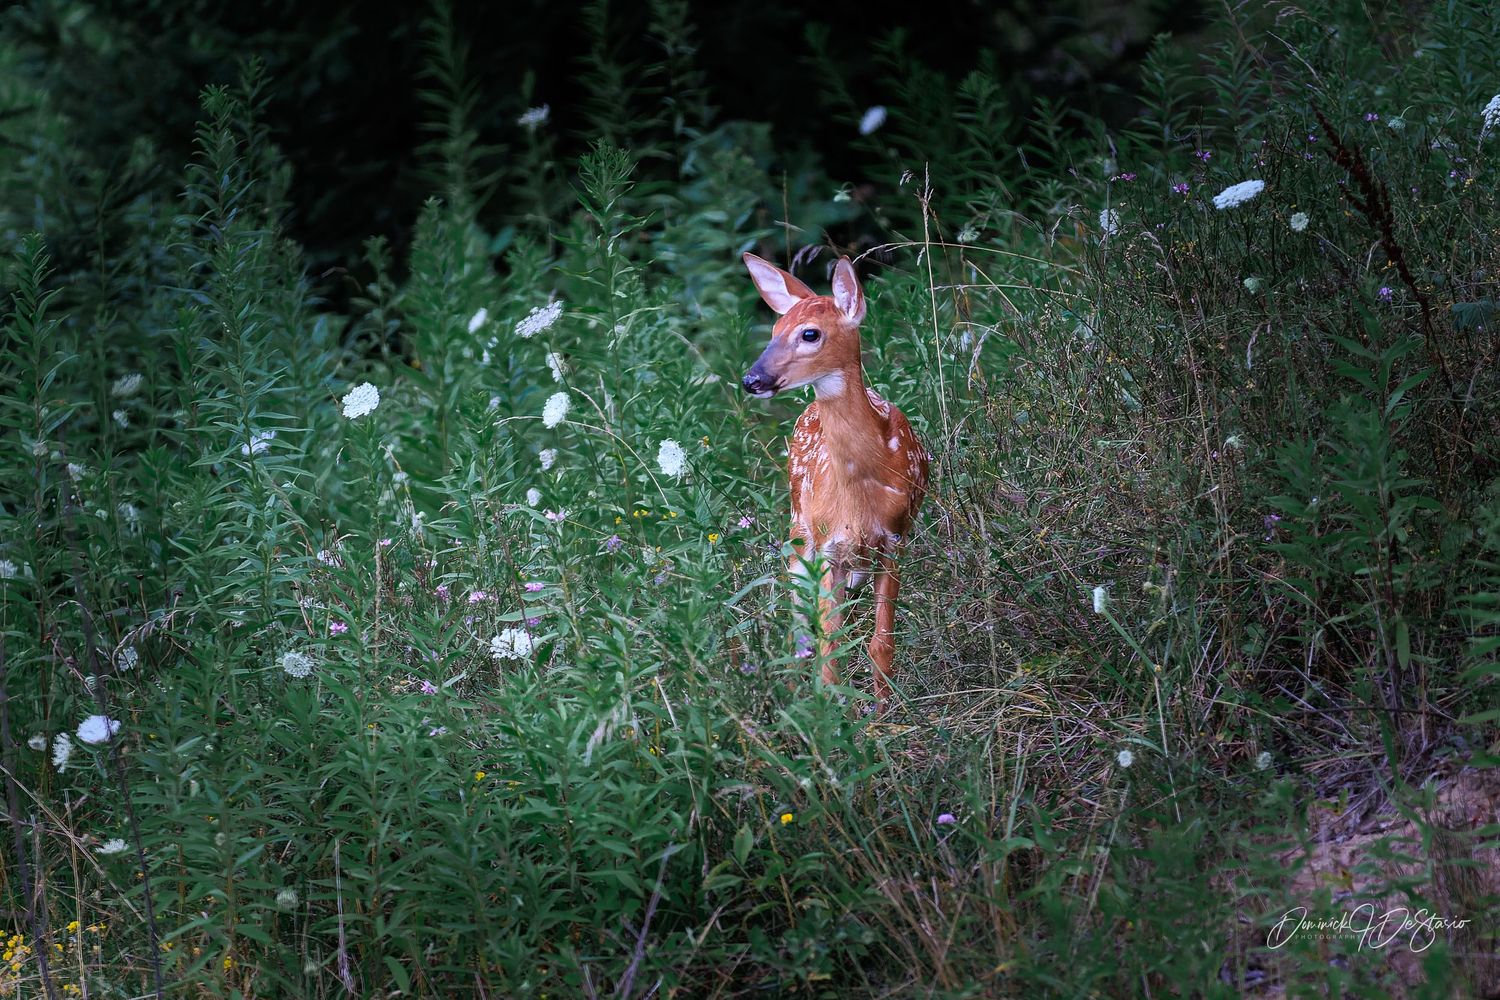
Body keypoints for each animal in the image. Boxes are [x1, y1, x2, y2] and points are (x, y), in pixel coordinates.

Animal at [740, 251, 929, 708]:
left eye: (810, 334)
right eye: (774, 331)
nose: (752, 380)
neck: (860, 495)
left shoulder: (895, 540)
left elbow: (881, 643)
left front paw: (883, 717)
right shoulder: (828, 545)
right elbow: (830, 642)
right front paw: (830, 713)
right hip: (798, 529)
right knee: (799, 620)